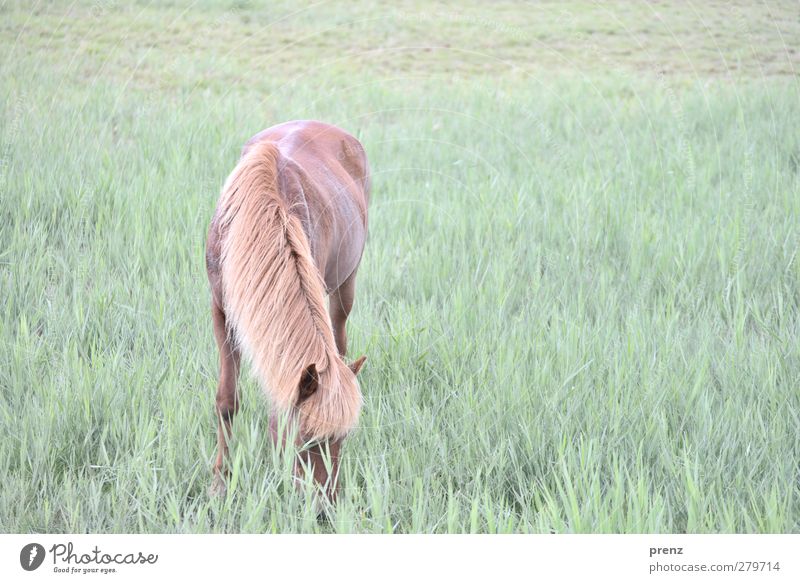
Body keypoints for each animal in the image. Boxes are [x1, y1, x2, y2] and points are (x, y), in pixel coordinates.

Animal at [205, 120, 370, 502]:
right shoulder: (221, 311)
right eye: (306, 440)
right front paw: (220, 481)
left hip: (346, 283)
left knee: (340, 337)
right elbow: (227, 401)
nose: (326, 507)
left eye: (342, 439)